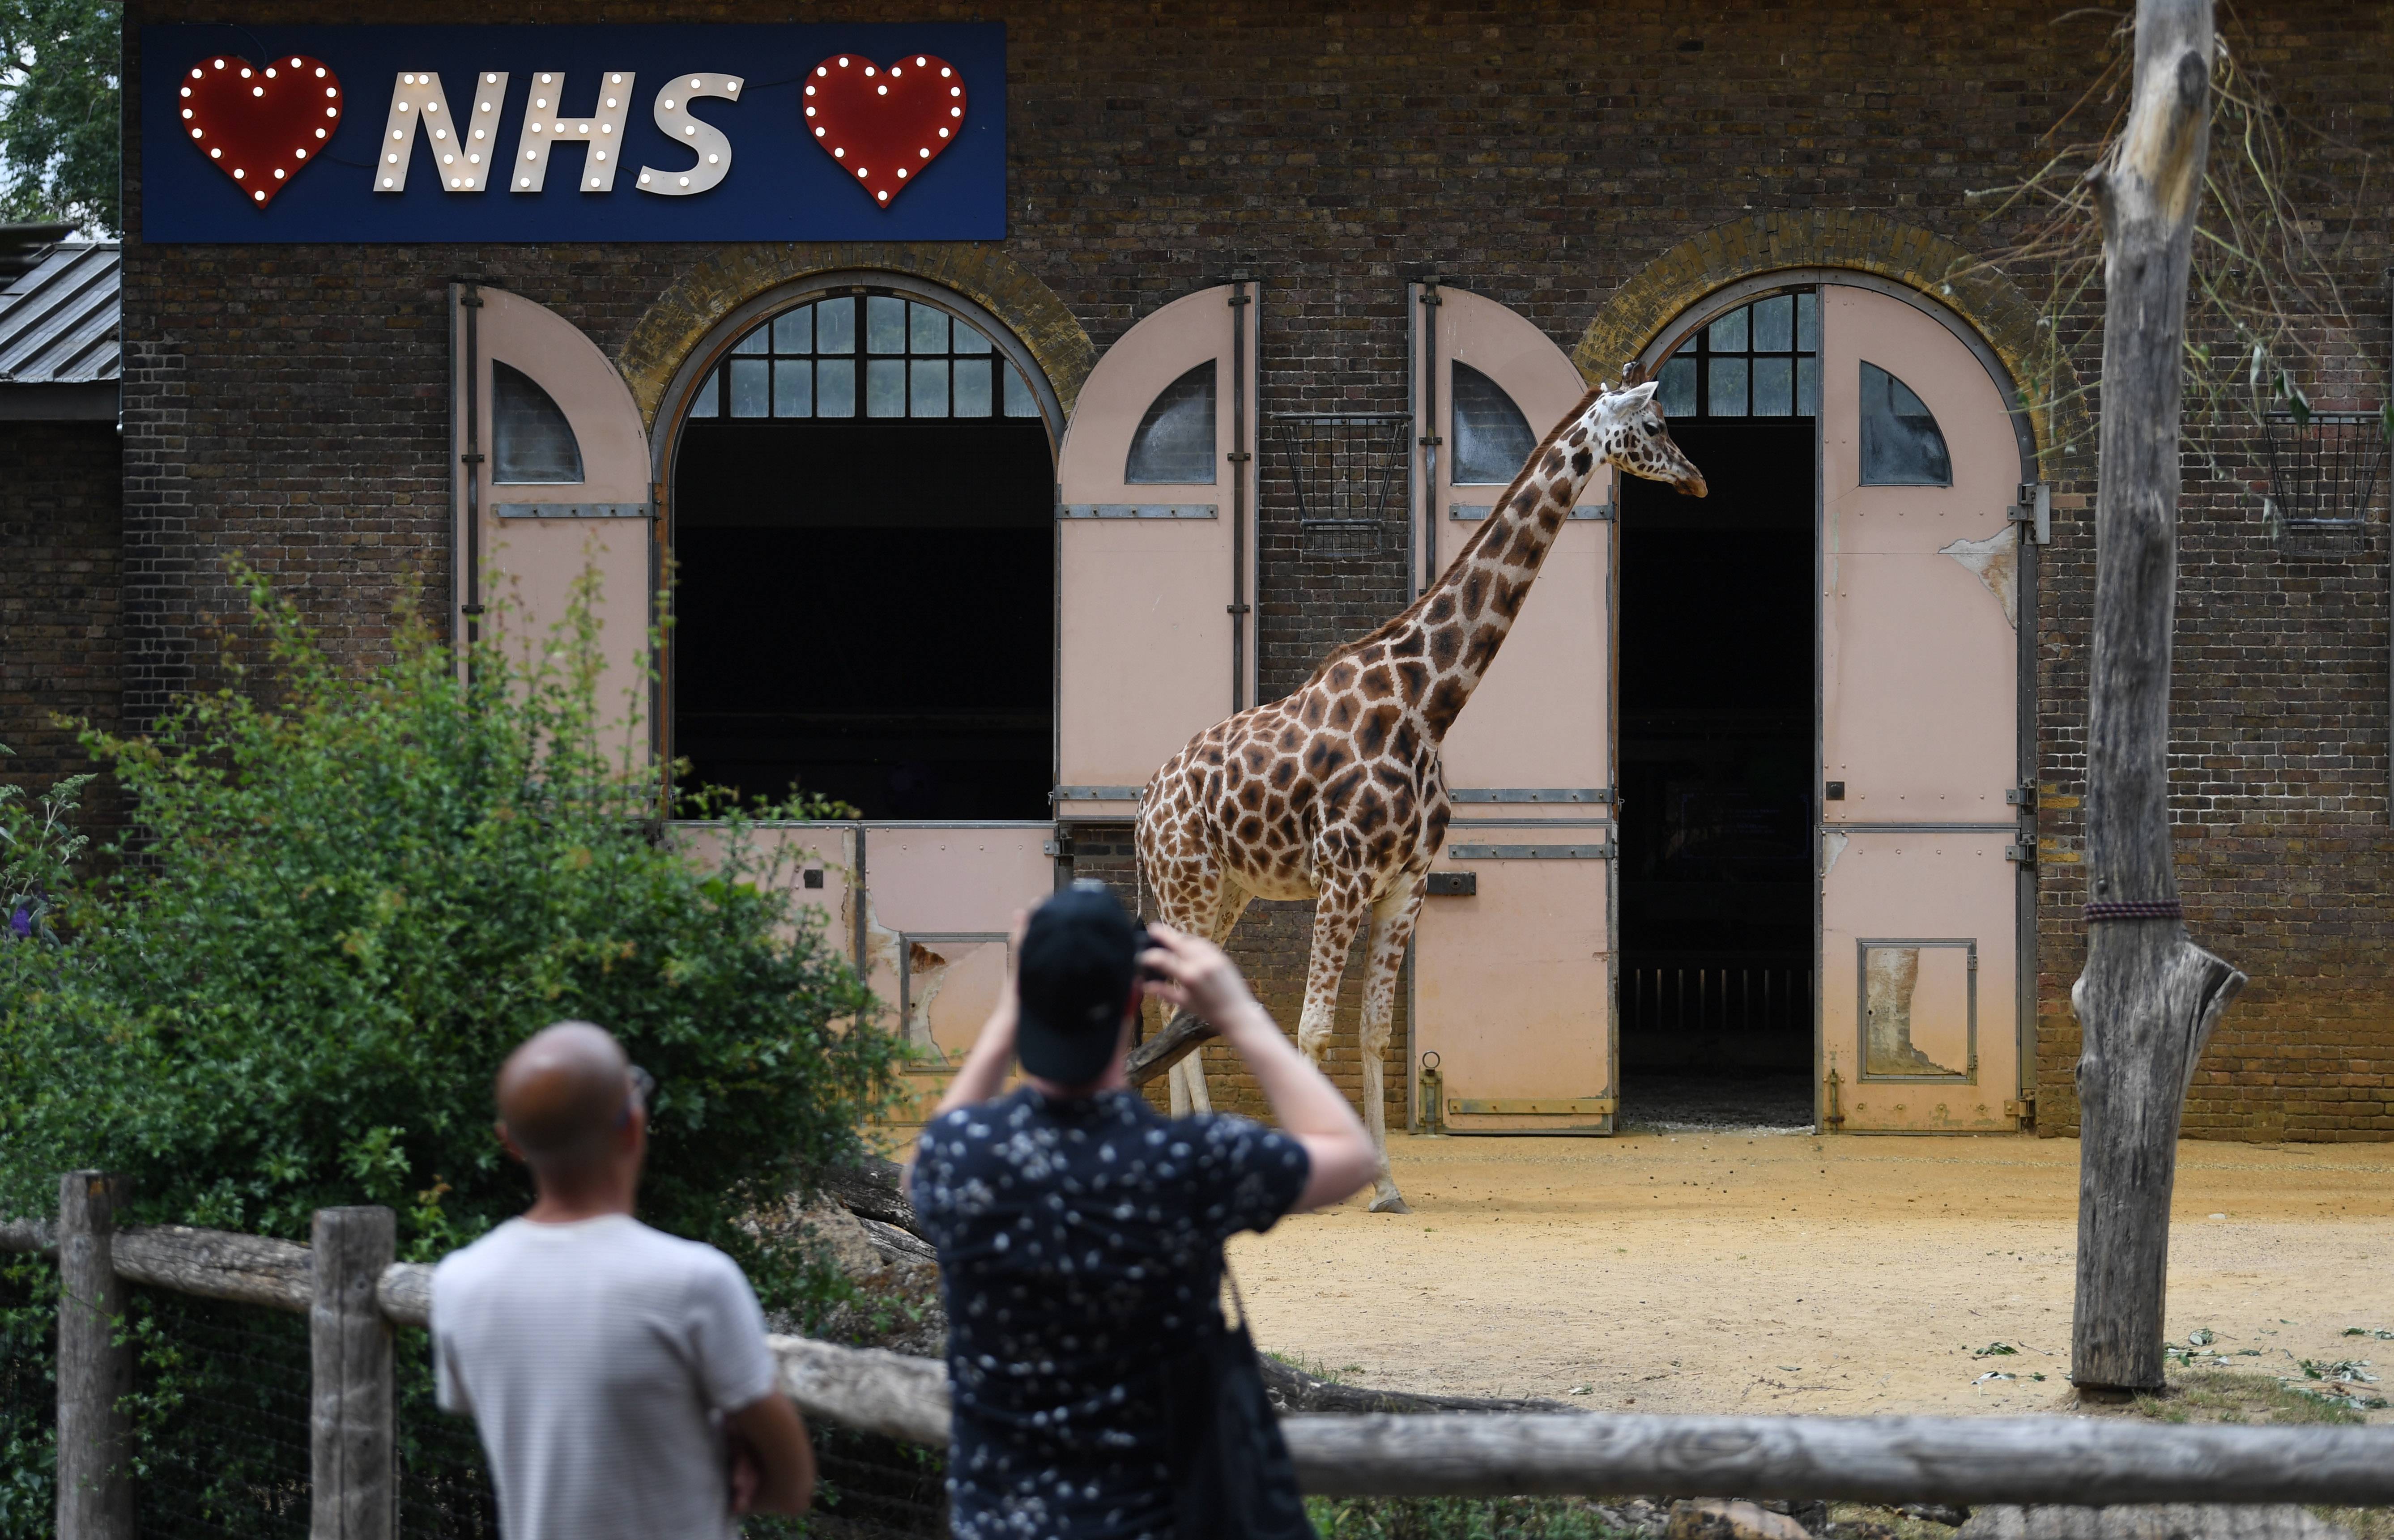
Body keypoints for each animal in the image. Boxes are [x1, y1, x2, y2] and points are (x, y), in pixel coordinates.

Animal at [1134, 374, 1704, 1217]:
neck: (1429, 701)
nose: (1696, 478)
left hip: (1225, 892)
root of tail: (1144, 802)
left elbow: (1371, 1030)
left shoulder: (1406, 882)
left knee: (1179, 1009)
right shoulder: (1341, 877)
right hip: (1188, 883)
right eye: (1658, 425)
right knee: (1176, 1011)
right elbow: (1313, 1028)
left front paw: (1386, 1185)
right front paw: (1328, 1182)